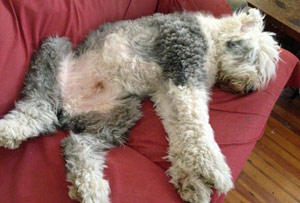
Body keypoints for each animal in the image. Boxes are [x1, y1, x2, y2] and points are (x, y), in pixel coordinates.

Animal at [1, 8, 280, 203]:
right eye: (256, 60)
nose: (251, 89)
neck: (211, 36)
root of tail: (69, 108)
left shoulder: (166, 93)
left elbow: (179, 133)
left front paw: (189, 180)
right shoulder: (184, 71)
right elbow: (198, 124)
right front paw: (214, 168)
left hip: (120, 114)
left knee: (77, 145)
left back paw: (90, 188)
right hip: (54, 48)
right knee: (39, 109)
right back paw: (10, 131)